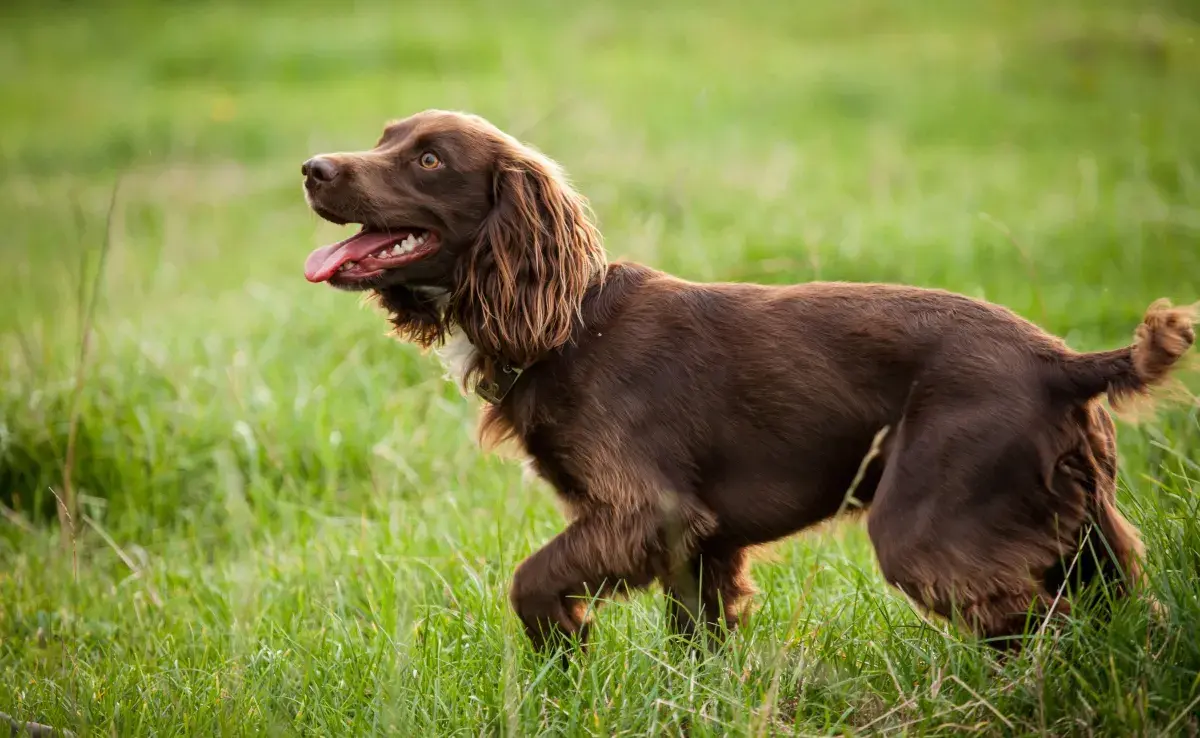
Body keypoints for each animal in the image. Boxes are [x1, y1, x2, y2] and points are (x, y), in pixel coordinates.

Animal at [297, 108, 1190, 652]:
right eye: (386, 135)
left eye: (429, 158)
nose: (311, 167)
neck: (569, 324)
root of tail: (1063, 364)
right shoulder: (700, 543)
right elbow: (697, 641)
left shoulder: (646, 510)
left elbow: (531, 579)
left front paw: (567, 649)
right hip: (1084, 530)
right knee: (1120, 616)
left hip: (931, 527)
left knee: (1048, 628)